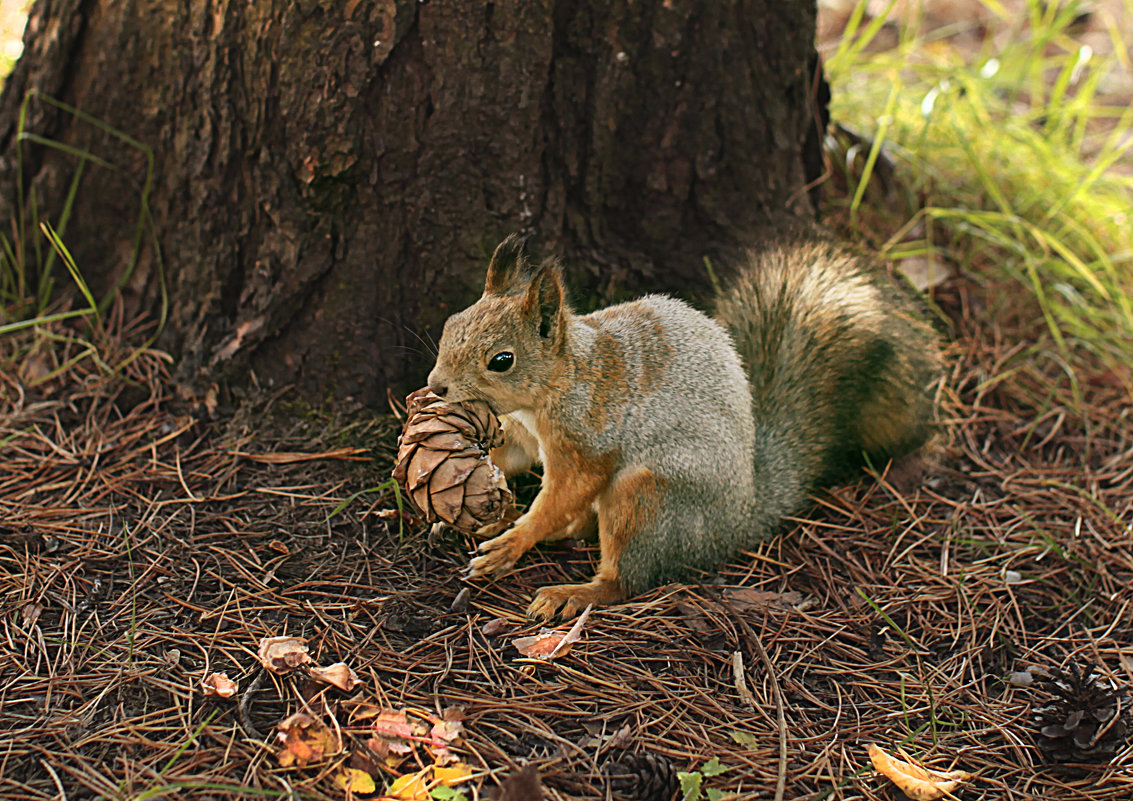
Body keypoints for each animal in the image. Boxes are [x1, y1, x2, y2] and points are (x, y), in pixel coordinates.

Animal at [426, 232, 938, 620]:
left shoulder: (588, 438)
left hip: (647, 497)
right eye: (450, 325)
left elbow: (565, 492)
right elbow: (510, 459)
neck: (558, 382)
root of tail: (739, 518)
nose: (434, 386)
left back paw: (572, 593)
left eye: (502, 360)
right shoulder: (524, 435)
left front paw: (514, 542)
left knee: (624, 578)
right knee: (581, 530)